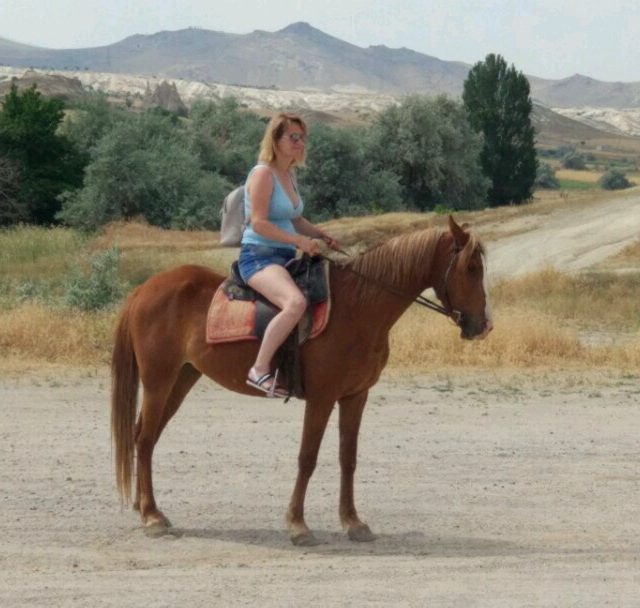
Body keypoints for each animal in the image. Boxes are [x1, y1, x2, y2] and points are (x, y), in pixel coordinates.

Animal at [110, 217, 492, 548]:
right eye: (471, 268)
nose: (483, 326)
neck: (358, 306)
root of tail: (144, 289)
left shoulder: (356, 396)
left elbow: (348, 458)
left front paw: (353, 523)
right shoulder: (322, 398)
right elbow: (307, 458)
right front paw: (298, 525)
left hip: (182, 378)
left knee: (145, 435)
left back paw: (146, 508)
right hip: (159, 380)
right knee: (145, 439)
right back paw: (151, 517)